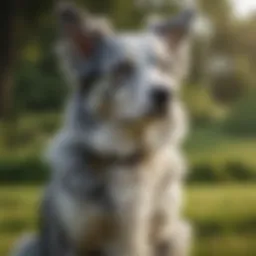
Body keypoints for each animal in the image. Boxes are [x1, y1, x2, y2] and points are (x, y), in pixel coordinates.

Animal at [9, 3, 194, 256]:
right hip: (27, 243)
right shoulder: (74, 239)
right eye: (122, 69)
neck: (127, 157)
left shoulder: (167, 235)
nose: (165, 95)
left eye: (164, 66)